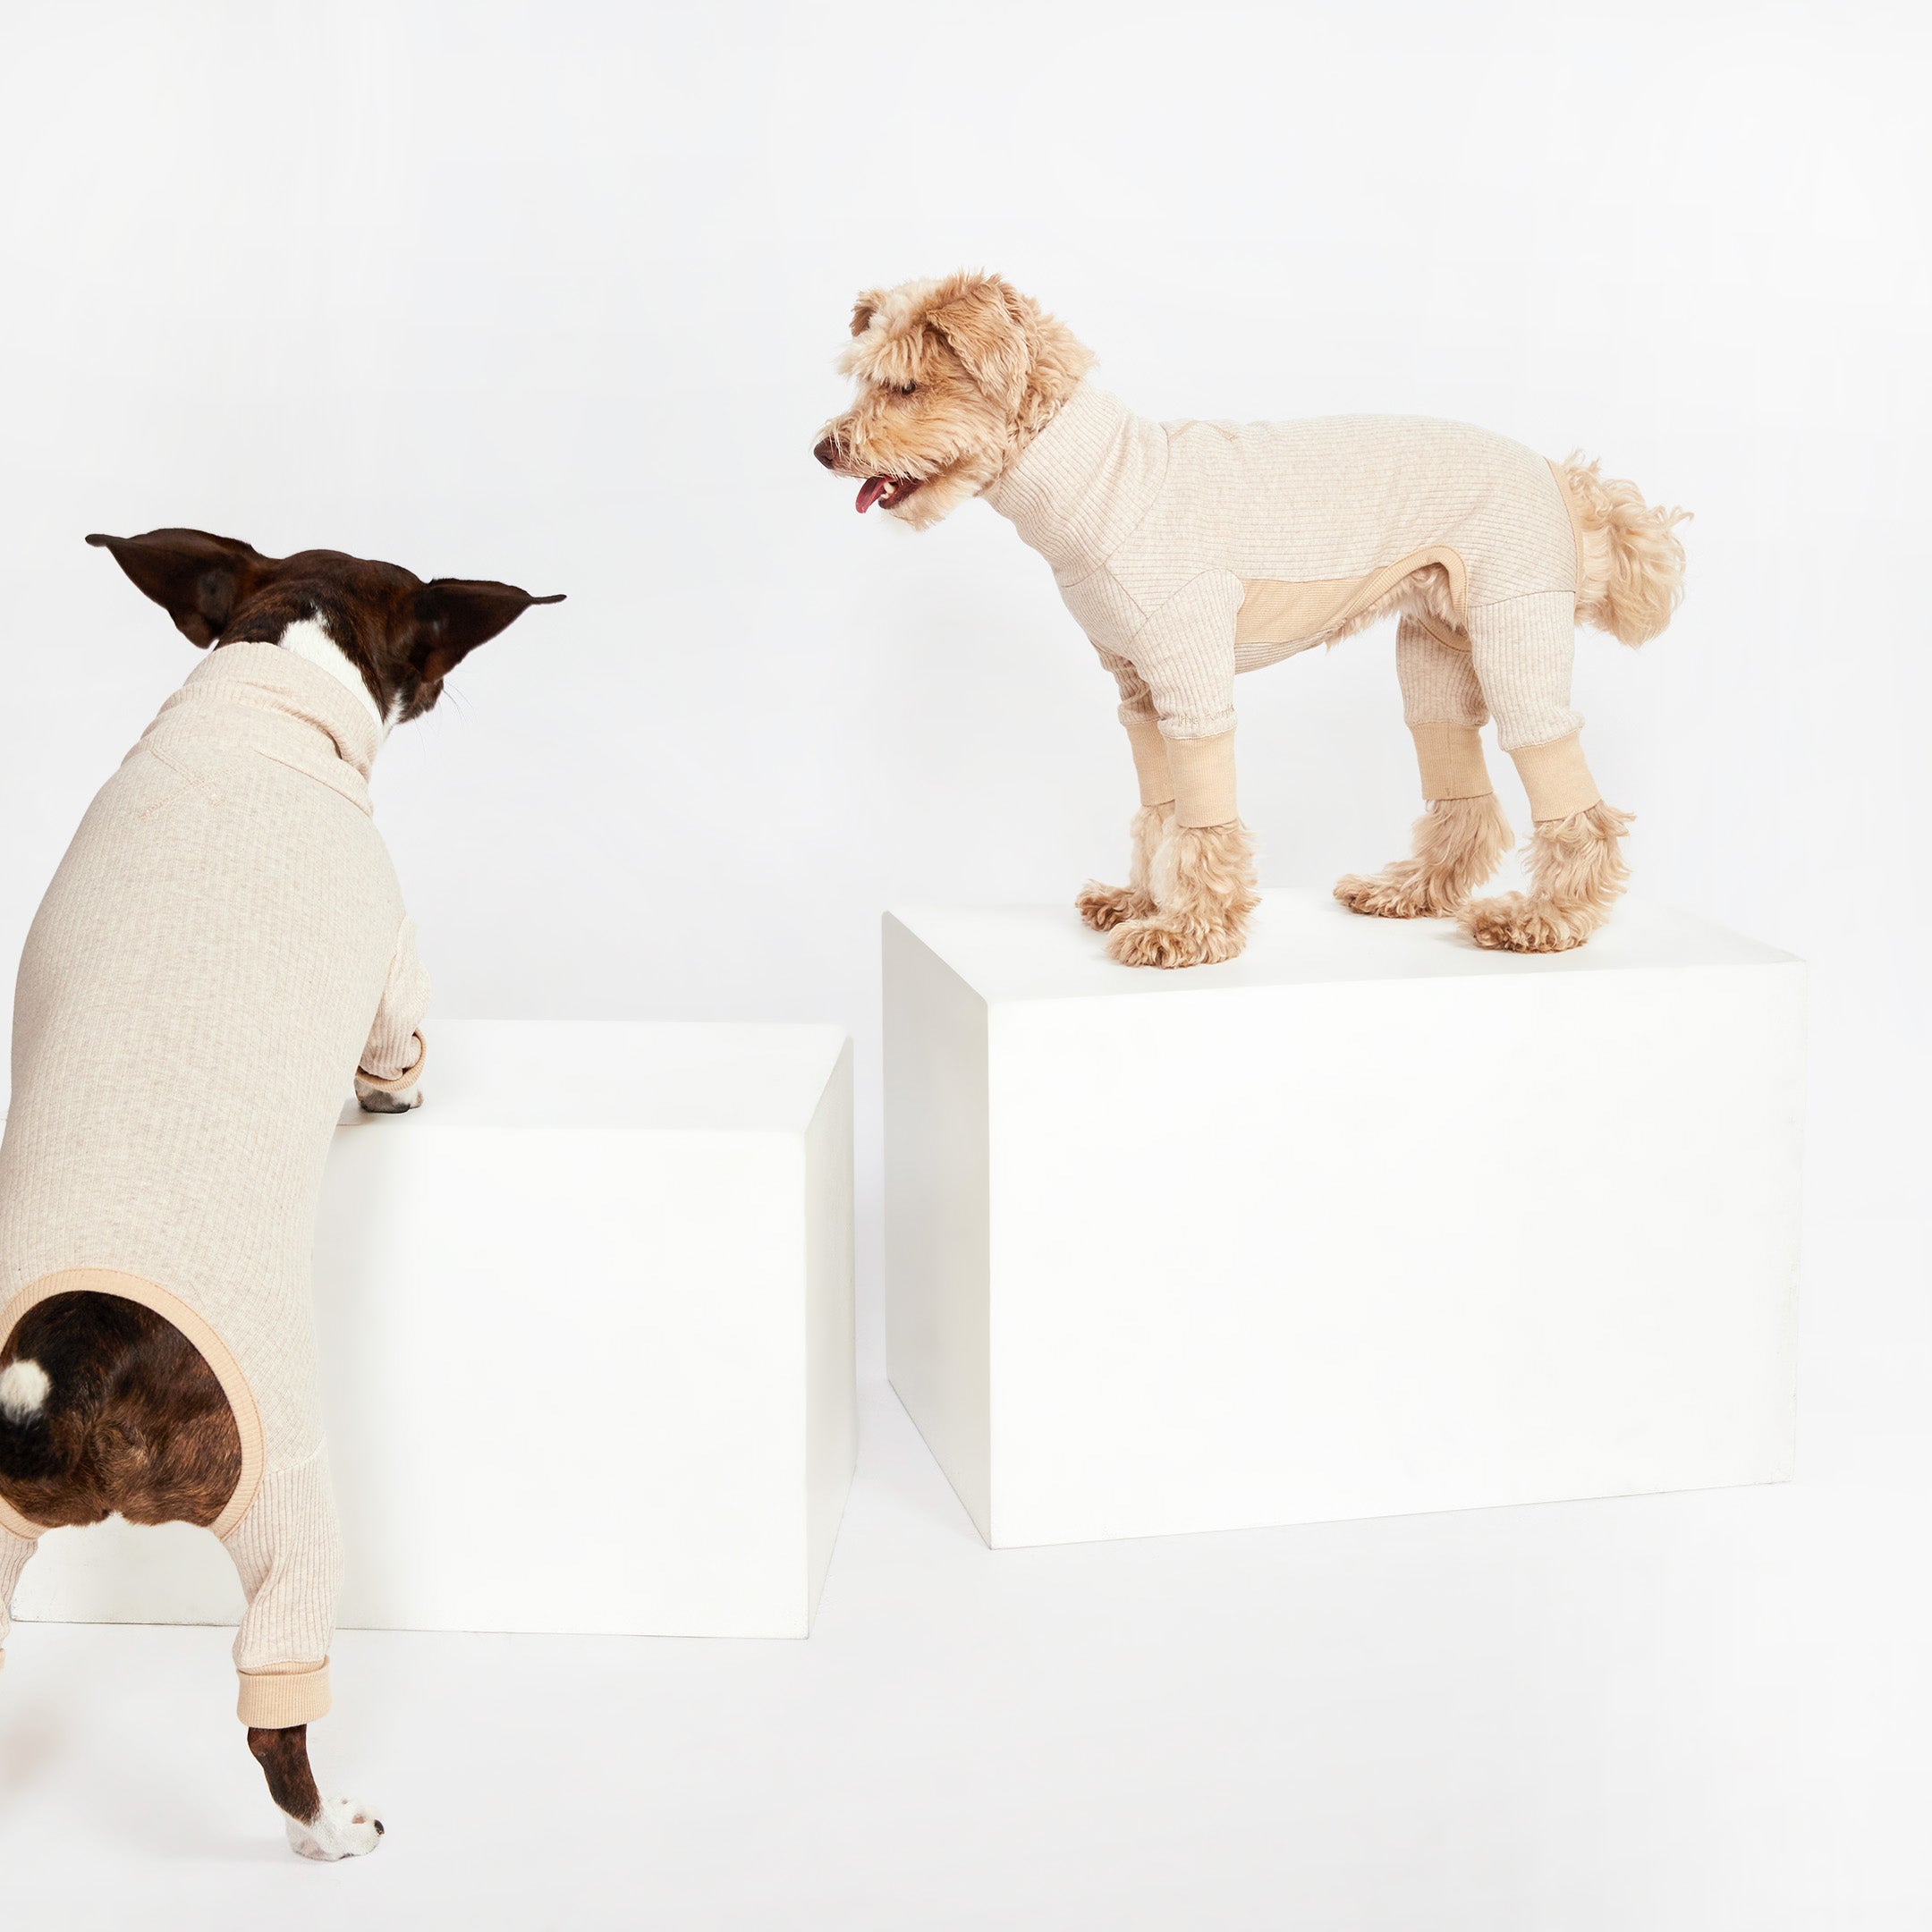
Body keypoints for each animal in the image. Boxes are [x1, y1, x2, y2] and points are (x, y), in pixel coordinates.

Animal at [0, 529, 560, 1854]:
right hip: (288, 1499)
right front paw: (398, 1096)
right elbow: (398, 1043)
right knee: (275, 1717)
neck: (262, 688)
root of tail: (64, 1358)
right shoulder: (393, 951)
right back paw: (330, 1830)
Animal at [815, 272, 1692, 966]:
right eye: (863, 381)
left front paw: (1189, 930)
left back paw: (1547, 919)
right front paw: (1143, 900)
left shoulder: (1191, 678)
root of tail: (1561, 475)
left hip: (1515, 630)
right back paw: (1408, 892)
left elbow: (1202, 819)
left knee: (1571, 796)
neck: (1102, 482)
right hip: (1438, 652)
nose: (825, 449)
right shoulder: (1140, 696)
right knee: (1461, 791)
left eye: (904, 388)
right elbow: (1160, 811)